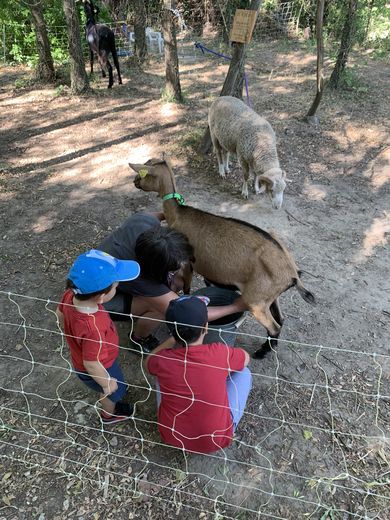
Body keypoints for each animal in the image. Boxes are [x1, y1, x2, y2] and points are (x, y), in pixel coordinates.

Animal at [129, 156, 316, 358]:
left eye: (144, 173)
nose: (134, 182)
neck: (179, 214)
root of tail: (292, 274)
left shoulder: (187, 263)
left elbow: (187, 288)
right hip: (271, 298)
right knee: (281, 319)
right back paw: (269, 348)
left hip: (257, 302)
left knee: (274, 326)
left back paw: (260, 353)